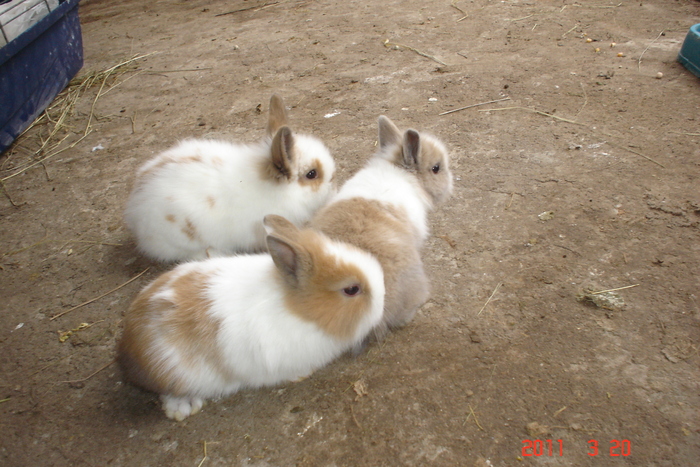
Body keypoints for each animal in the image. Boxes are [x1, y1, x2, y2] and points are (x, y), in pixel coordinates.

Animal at [117, 214, 386, 422]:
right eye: (351, 289)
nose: (382, 301)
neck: (302, 311)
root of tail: (126, 348)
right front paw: (303, 375)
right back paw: (183, 408)